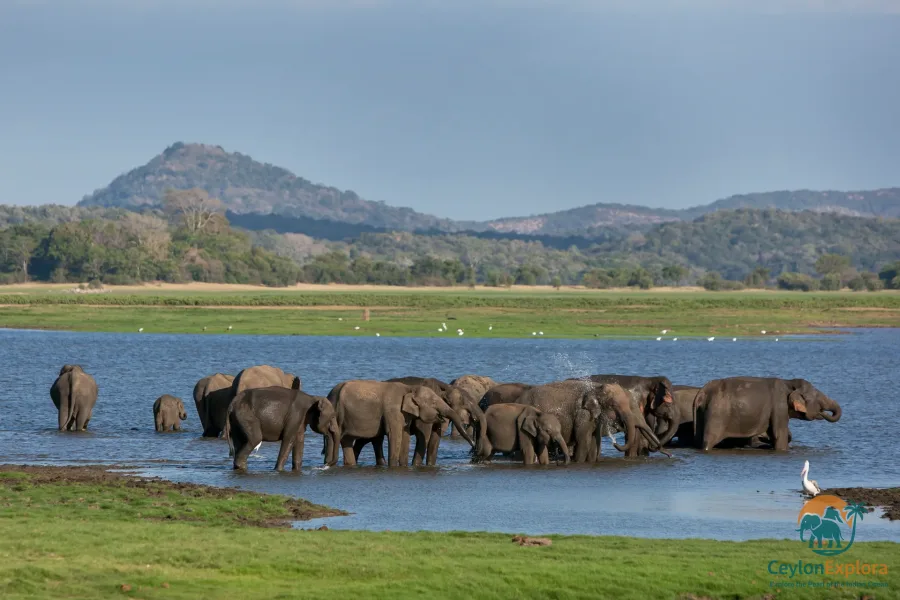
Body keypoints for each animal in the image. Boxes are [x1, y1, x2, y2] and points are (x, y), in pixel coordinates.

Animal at [326, 380, 474, 467]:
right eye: (433, 403)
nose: (473, 447)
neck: (410, 388)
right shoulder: (393, 411)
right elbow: (395, 435)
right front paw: (393, 467)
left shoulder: (404, 414)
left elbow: (405, 436)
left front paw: (403, 466)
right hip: (335, 413)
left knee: (347, 440)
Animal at [518, 379, 666, 462]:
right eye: (614, 406)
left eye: (631, 406)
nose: (614, 443)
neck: (597, 387)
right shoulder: (583, 414)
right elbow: (583, 440)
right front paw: (578, 462)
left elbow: (594, 441)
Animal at [692, 377, 841, 451]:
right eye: (818, 399)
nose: (822, 412)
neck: (789, 382)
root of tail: (702, 392)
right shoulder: (779, 405)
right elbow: (779, 434)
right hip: (717, 414)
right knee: (709, 440)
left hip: (702, 413)